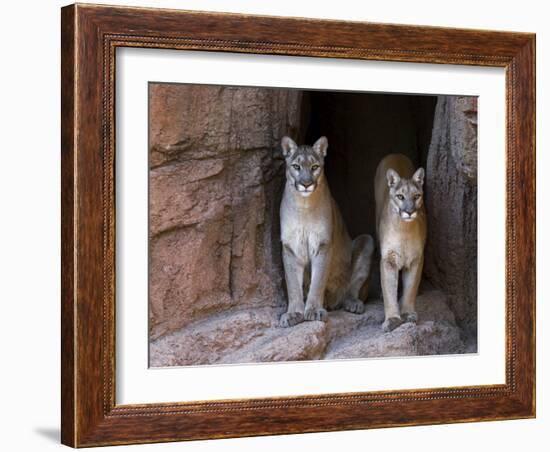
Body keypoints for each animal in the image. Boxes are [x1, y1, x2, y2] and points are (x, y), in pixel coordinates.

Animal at [280, 136, 376, 326]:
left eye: (314, 167)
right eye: (296, 166)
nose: (306, 184)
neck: (304, 206)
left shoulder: (323, 244)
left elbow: (318, 281)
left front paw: (313, 310)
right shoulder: (290, 247)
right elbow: (292, 284)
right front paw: (293, 313)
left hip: (366, 241)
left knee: (352, 289)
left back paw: (352, 304)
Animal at [376, 154, 432, 332]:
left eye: (416, 196)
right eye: (400, 197)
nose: (409, 211)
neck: (404, 230)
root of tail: (395, 154)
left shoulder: (416, 259)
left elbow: (410, 288)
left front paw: (408, 313)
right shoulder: (388, 259)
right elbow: (389, 291)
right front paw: (392, 319)